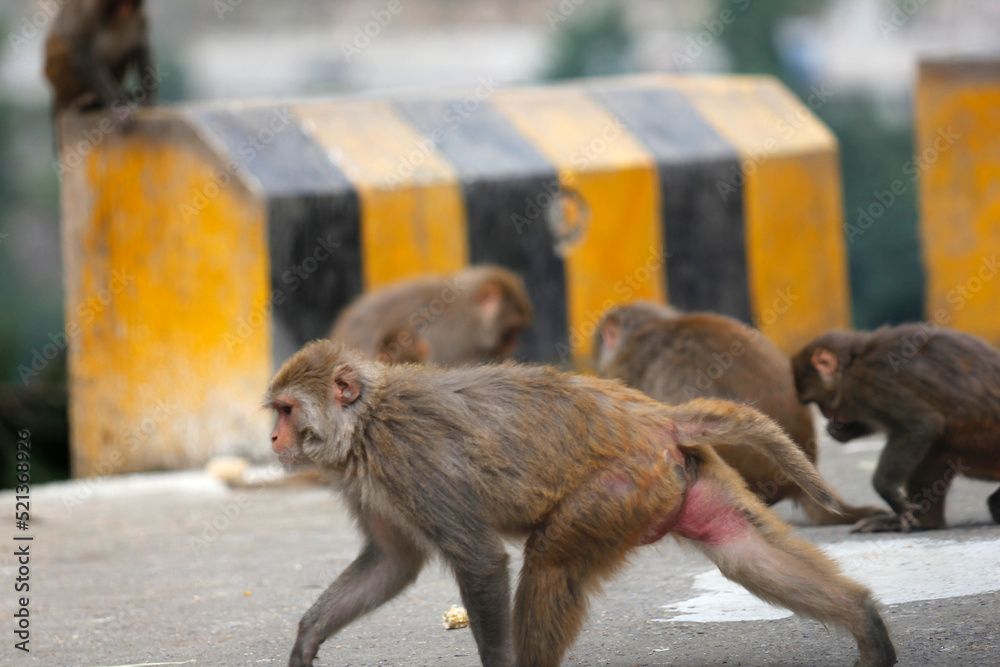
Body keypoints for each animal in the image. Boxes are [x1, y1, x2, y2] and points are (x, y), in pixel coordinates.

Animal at [44, 0, 156, 134]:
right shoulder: (87, 13)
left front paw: (149, 98)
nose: (126, 9)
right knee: (64, 45)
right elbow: (84, 55)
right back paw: (80, 102)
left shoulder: (139, 16)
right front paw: (118, 109)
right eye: (117, 3)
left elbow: (140, 44)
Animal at [265, 339, 896, 667]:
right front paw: (307, 641)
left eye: (287, 410)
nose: (271, 438)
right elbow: (394, 563)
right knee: (739, 549)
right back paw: (864, 622)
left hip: (617, 489)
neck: (367, 422)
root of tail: (657, 416)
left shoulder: (411, 459)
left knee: (551, 563)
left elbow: (481, 562)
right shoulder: (367, 481)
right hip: (676, 480)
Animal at [793, 324, 1000, 532]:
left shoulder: (866, 382)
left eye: (817, 402)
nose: (827, 414)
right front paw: (839, 430)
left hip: (983, 448)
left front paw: (886, 490)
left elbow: (920, 423)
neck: (854, 360)